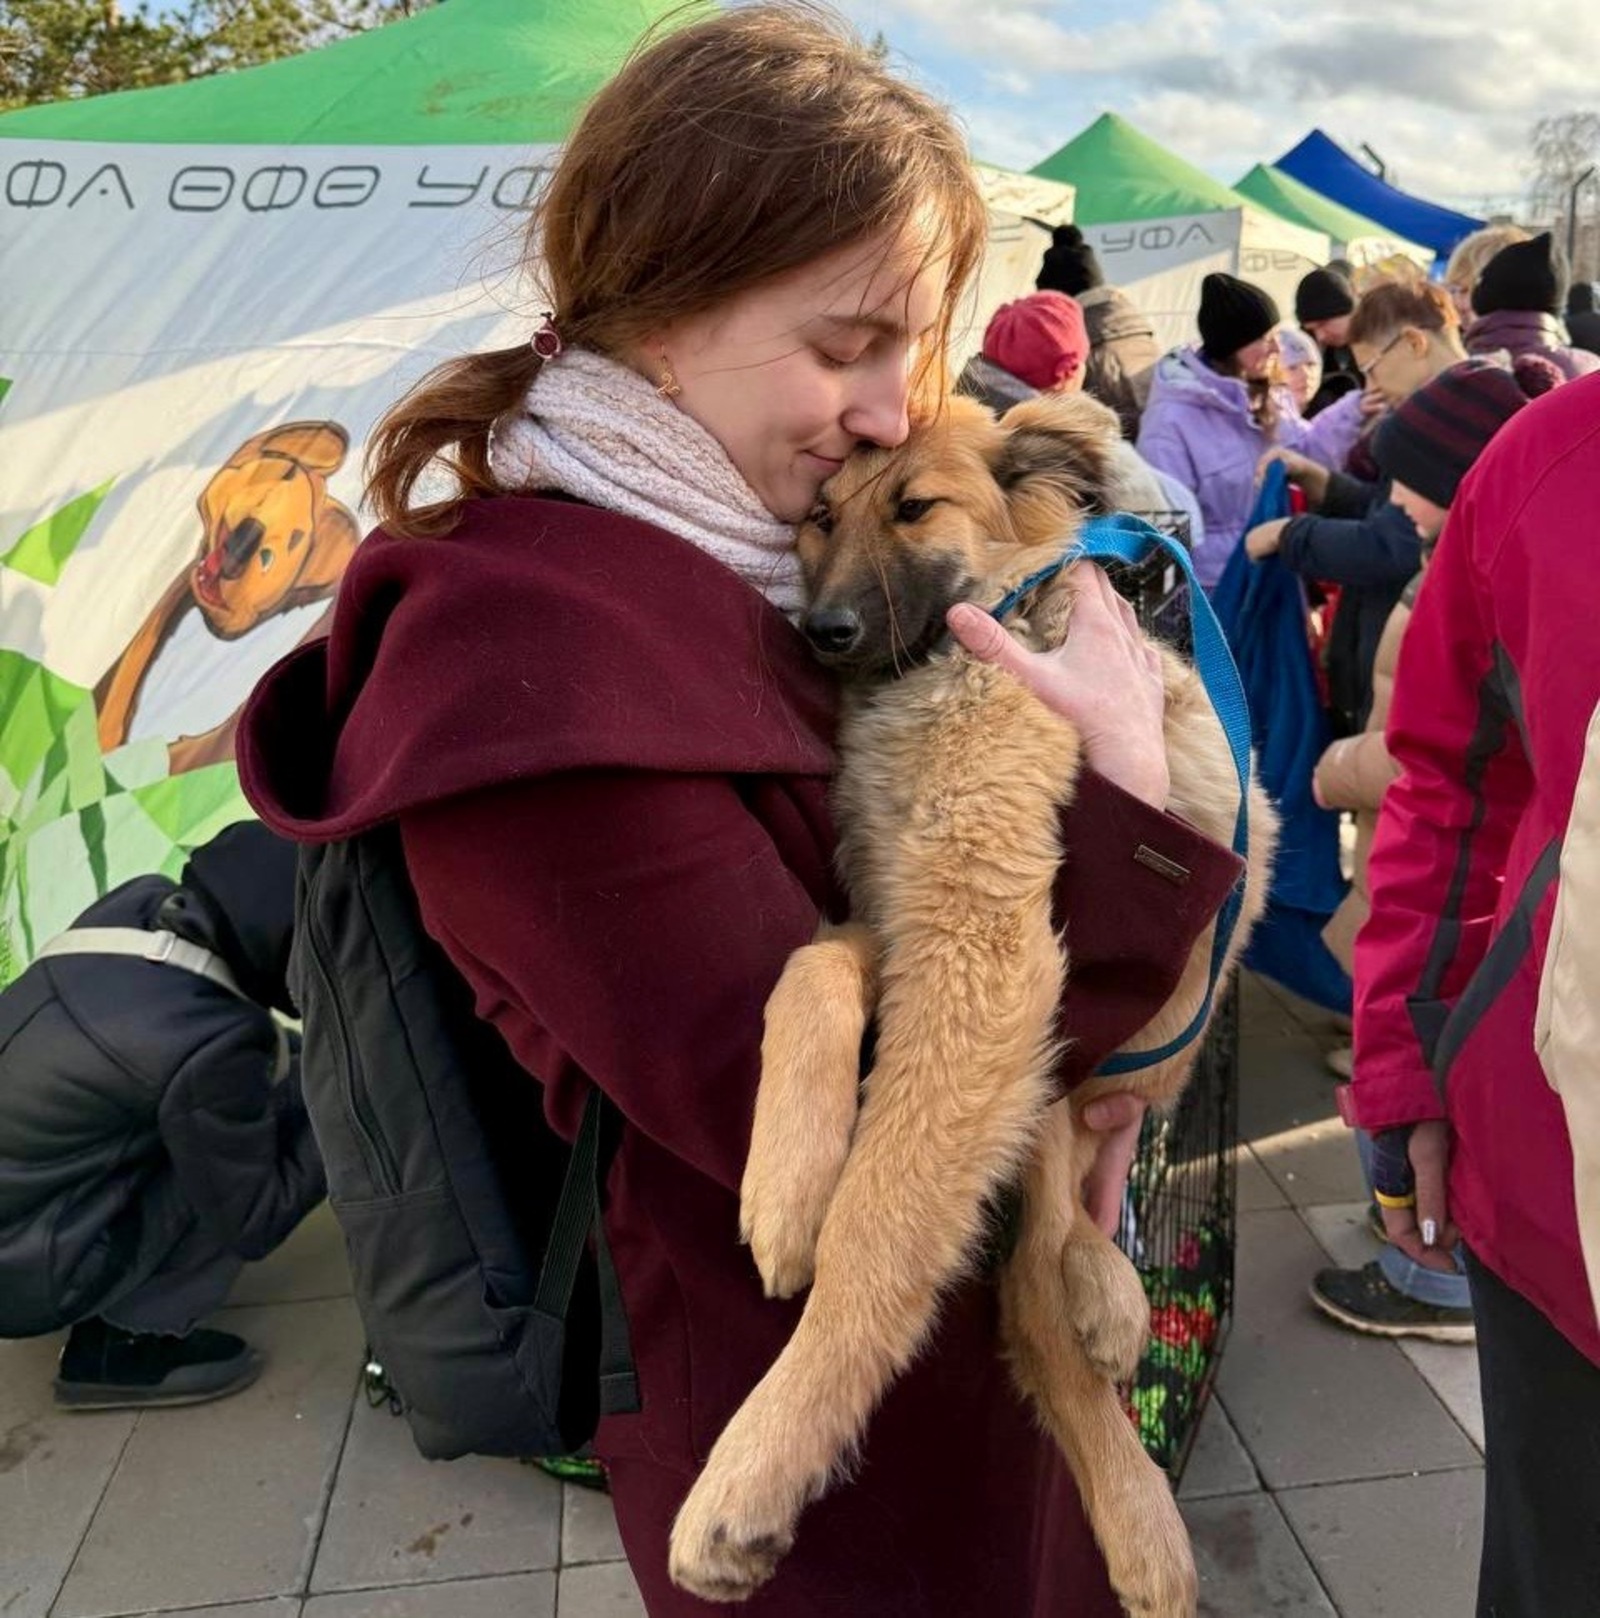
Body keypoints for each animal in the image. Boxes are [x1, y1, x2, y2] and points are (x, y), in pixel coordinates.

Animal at [667, 392, 1278, 1616]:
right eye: (816, 517)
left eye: (914, 508)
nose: (823, 633)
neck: (945, 661)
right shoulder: (895, 913)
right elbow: (810, 971)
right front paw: (786, 1185)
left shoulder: (980, 942)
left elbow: (879, 1226)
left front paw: (761, 1459)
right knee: (1043, 1263)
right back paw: (1109, 1310)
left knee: (1041, 1274)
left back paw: (1130, 1448)